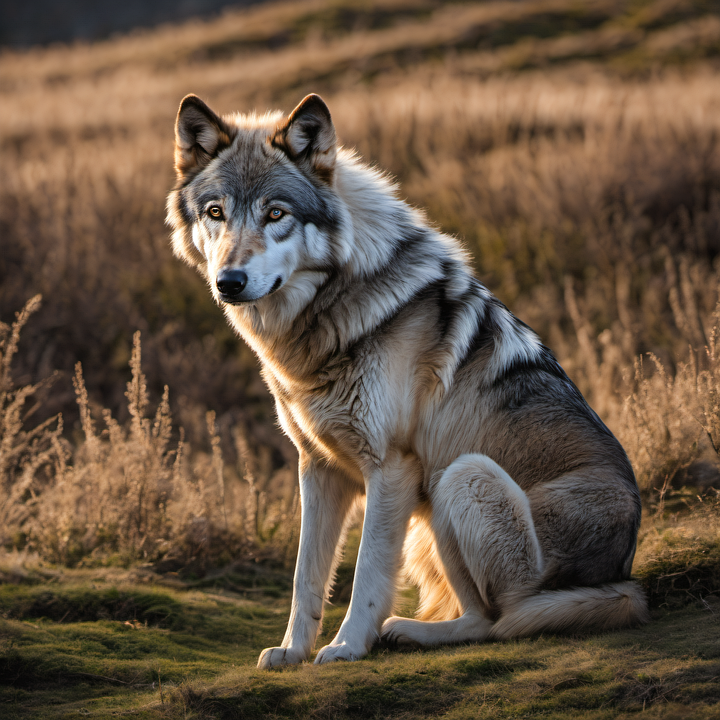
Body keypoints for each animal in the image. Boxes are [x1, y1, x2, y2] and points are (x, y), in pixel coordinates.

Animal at [166, 93, 648, 668]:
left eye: (275, 213)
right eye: (216, 213)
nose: (230, 282)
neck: (330, 315)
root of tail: (622, 574)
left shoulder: (390, 468)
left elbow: (368, 573)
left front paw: (347, 646)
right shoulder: (318, 468)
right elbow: (306, 577)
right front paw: (292, 652)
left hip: (458, 476)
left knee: (495, 621)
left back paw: (409, 631)